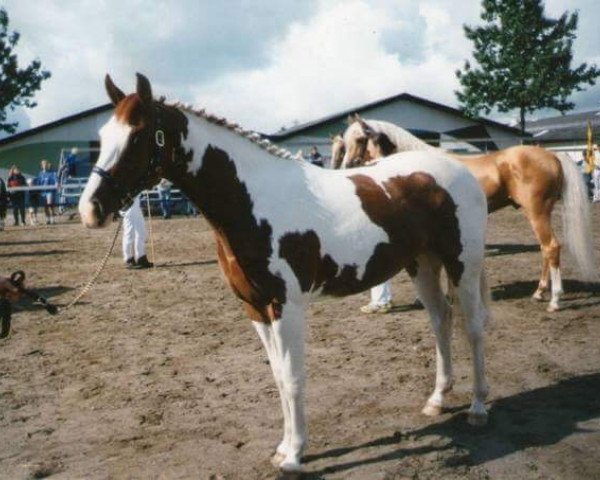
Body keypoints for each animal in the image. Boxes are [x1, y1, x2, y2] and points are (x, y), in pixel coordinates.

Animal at [78, 75, 492, 472]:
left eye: (137, 135)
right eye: (103, 136)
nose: (90, 209)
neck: (254, 202)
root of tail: (458, 169)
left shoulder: (285, 307)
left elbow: (294, 378)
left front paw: (294, 455)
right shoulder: (255, 308)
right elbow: (278, 377)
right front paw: (283, 447)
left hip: (463, 267)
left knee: (473, 329)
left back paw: (478, 407)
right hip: (422, 265)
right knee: (441, 321)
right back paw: (437, 400)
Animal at [332, 116, 596, 312]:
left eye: (360, 138)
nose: (346, 167)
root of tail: (552, 155)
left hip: (537, 212)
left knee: (551, 247)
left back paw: (555, 301)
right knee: (545, 250)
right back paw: (539, 293)